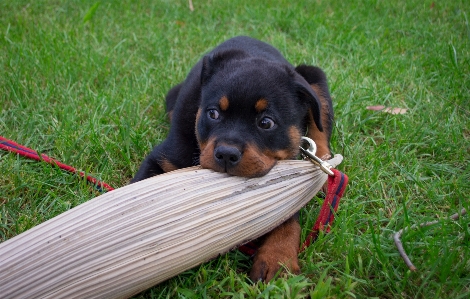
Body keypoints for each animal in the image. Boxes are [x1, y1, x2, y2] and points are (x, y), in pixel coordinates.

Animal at [130, 36, 332, 282]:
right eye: (213, 113)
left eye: (266, 123)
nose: (226, 153)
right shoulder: (164, 156)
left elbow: (288, 215)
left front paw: (277, 258)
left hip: (315, 77)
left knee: (320, 126)